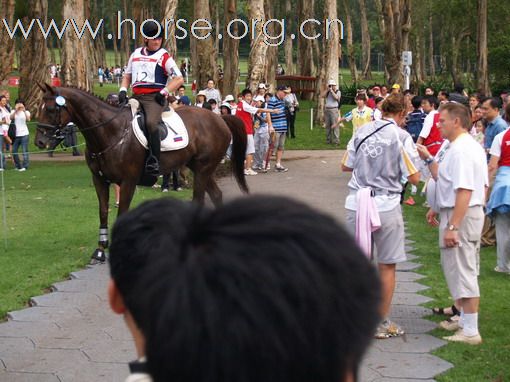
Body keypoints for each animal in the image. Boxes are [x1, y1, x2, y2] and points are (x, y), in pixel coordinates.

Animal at [35, 83, 247, 262]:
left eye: (51, 109)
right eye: (39, 108)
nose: (39, 141)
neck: (111, 132)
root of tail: (219, 118)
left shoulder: (128, 181)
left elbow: (122, 211)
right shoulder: (100, 180)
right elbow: (103, 211)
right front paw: (101, 249)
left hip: (203, 169)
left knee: (200, 199)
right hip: (201, 168)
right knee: (216, 195)